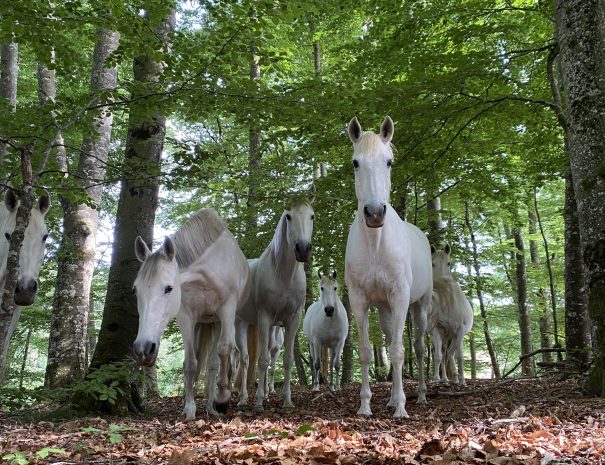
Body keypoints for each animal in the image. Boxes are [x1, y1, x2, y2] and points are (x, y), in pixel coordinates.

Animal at [133, 208, 249, 418]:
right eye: (135, 290)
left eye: (169, 288)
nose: (143, 349)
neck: (204, 275)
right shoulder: (186, 316)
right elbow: (190, 364)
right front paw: (189, 408)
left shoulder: (227, 309)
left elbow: (224, 350)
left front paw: (223, 397)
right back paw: (209, 406)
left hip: (221, 321)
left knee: (220, 359)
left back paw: (216, 404)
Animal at [234, 203, 314, 410]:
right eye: (288, 217)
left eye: (312, 216)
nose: (303, 249)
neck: (283, 275)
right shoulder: (264, 316)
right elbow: (262, 361)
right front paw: (259, 402)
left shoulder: (294, 319)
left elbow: (287, 360)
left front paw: (287, 400)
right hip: (240, 323)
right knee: (245, 360)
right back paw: (243, 398)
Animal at [342, 116, 432, 416]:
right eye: (355, 163)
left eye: (389, 161)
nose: (374, 213)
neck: (375, 245)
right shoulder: (359, 301)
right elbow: (367, 352)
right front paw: (365, 406)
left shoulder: (401, 297)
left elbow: (398, 351)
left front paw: (401, 409)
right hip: (385, 311)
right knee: (393, 339)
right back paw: (392, 398)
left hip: (420, 305)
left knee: (417, 347)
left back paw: (419, 395)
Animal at [430, 243, 472, 384]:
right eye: (432, 263)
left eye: (449, 263)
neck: (448, 299)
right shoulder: (436, 329)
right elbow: (437, 356)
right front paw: (436, 378)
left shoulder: (460, 330)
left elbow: (460, 356)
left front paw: (463, 380)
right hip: (445, 336)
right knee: (445, 353)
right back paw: (446, 378)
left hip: (455, 335)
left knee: (450, 352)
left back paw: (456, 378)